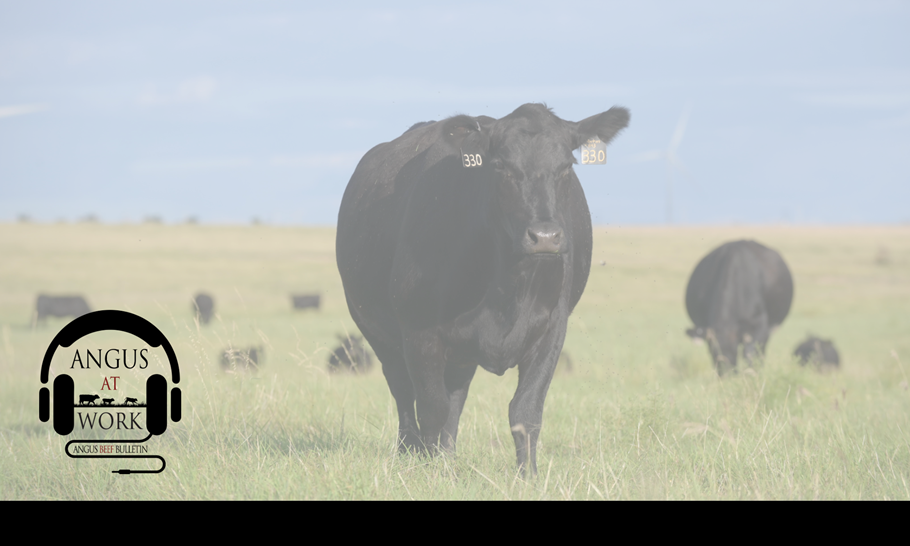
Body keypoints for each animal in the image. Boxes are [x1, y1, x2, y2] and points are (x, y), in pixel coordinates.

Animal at [336, 103, 629, 476]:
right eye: (501, 165)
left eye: (567, 166)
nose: (544, 237)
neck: (507, 287)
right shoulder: (419, 332)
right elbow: (431, 408)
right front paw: (431, 473)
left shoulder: (551, 330)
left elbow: (525, 410)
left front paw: (528, 476)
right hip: (374, 330)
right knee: (403, 393)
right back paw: (411, 450)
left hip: (460, 354)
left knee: (455, 396)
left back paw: (446, 455)